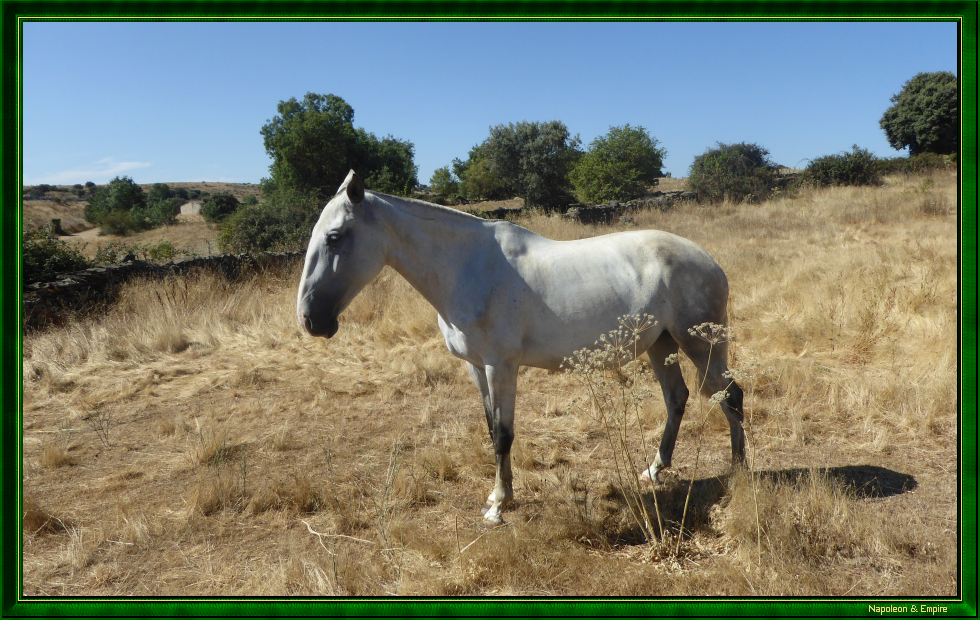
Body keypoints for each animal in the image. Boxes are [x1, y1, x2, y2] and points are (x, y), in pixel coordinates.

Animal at [296, 170, 745, 525]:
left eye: (335, 237)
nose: (310, 319)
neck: (468, 268)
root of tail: (709, 261)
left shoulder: (501, 366)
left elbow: (503, 434)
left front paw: (499, 506)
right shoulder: (477, 368)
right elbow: (490, 427)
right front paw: (500, 494)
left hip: (699, 345)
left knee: (729, 395)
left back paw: (739, 469)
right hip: (660, 345)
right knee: (678, 397)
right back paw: (655, 470)